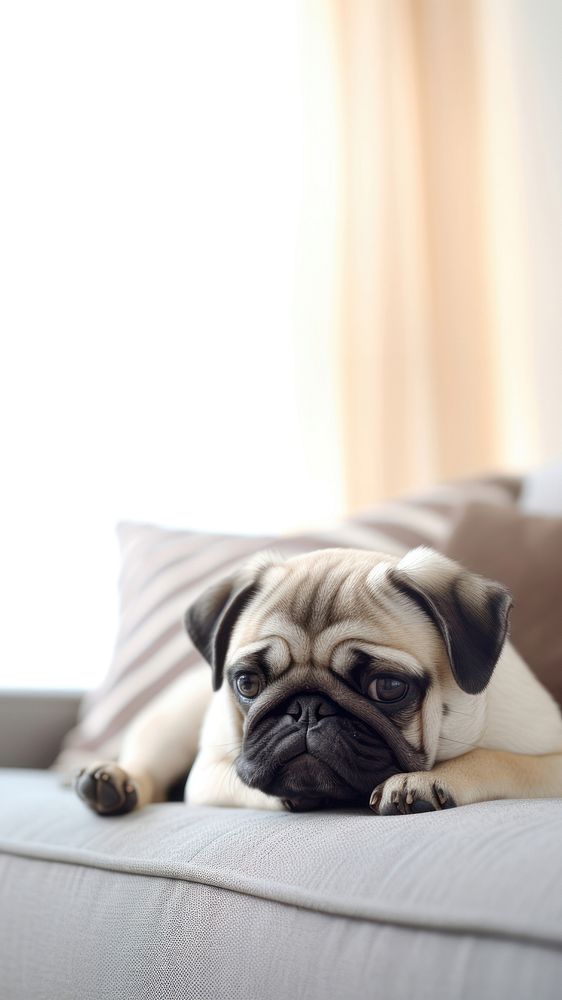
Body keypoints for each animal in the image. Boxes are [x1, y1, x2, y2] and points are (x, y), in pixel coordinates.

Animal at [74, 548, 560, 820]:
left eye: (388, 687)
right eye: (247, 682)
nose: (308, 708)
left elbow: (495, 759)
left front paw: (420, 781)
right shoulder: (210, 773)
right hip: (171, 726)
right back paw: (112, 783)